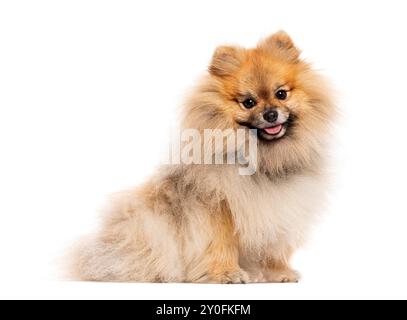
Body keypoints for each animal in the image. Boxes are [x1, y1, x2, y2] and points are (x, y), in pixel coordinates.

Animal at [70, 31, 336, 284]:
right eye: (248, 102)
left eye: (281, 94)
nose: (270, 114)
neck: (262, 160)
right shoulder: (216, 206)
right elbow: (221, 242)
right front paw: (227, 273)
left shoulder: (281, 207)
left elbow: (273, 244)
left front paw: (278, 272)